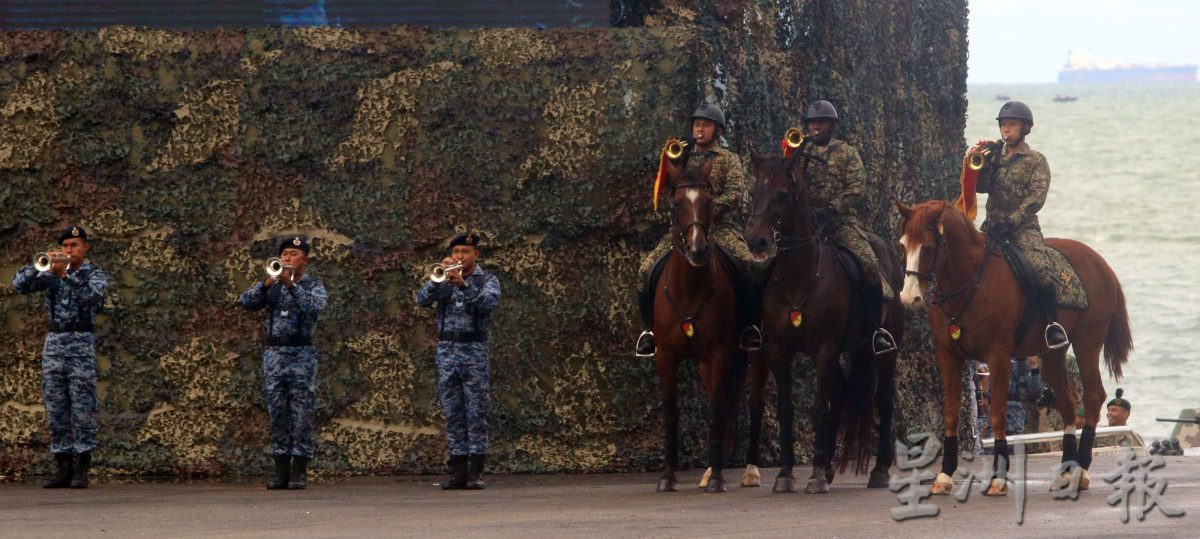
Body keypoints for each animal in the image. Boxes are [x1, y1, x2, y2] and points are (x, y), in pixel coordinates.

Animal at [652, 154, 744, 492]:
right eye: (677, 203)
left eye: (709, 201)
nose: (698, 249)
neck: (690, 289)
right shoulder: (665, 356)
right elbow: (671, 412)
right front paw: (667, 477)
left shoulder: (719, 353)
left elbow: (717, 408)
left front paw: (717, 477)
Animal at [739, 148, 902, 492]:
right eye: (754, 191)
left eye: (782, 194)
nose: (757, 241)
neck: (799, 276)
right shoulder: (778, 350)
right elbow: (787, 409)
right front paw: (786, 474)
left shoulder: (824, 348)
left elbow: (818, 409)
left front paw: (813, 475)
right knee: (840, 391)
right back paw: (827, 466)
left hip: (885, 352)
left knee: (883, 400)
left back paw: (878, 470)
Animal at [902, 199, 1132, 494]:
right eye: (902, 245)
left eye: (928, 247)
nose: (908, 297)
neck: (972, 280)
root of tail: (1100, 263)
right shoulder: (948, 355)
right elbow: (951, 412)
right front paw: (944, 475)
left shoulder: (998, 355)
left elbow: (997, 413)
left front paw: (998, 477)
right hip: (1052, 355)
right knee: (1068, 402)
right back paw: (1066, 470)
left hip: (1087, 344)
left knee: (1092, 397)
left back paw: (1080, 470)